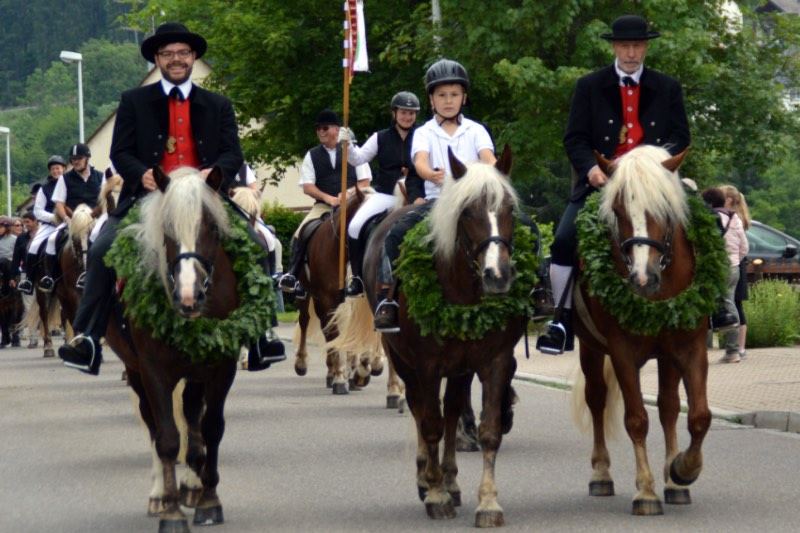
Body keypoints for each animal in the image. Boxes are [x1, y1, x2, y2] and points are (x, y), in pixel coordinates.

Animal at [326, 145, 520, 524]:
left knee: (452, 411)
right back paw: (428, 479)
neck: (460, 291)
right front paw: (435, 494)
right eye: (468, 211)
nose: (497, 275)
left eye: (508, 208)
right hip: (403, 358)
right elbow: (429, 422)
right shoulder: (426, 364)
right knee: (420, 408)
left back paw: (451, 480)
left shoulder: (494, 361)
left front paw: (488, 502)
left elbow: (487, 430)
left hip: (458, 368)